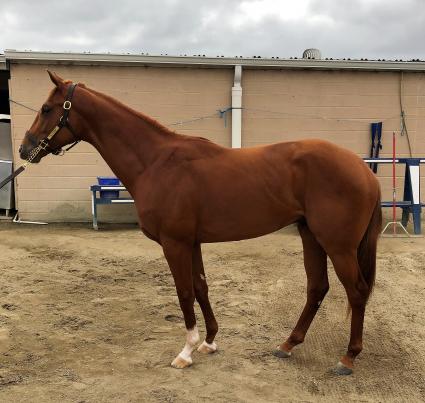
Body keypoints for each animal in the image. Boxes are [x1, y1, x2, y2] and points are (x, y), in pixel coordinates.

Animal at [18, 72, 380, 376]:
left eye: (47, 108)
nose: (25, 148)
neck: (157, 162)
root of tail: (364, 170)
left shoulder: (174, 243)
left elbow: (184, 292)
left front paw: (186, 352)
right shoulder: (191, 242)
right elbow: (201, 287)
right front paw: (209, 342)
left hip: (338, 246)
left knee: (357, 291)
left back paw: (348, 358)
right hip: (311, 236)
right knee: (317, 288)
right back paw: (288, 345)